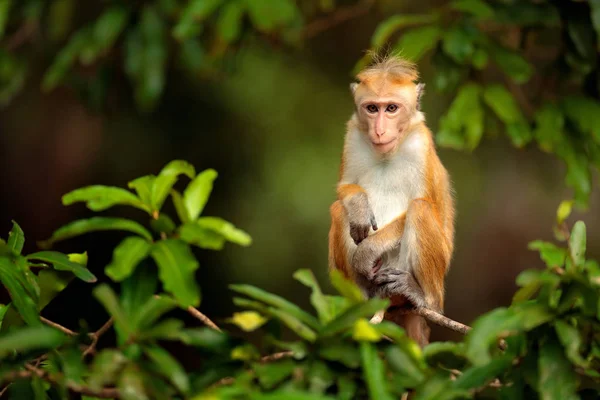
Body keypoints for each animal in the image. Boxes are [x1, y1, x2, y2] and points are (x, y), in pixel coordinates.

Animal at [328, 54, 454, 348]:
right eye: (372, 108)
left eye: (392, 108)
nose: (379, 130)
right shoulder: (352, 135)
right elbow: (343, 188)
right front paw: (359, 206)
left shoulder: (421, 145)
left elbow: (423, 203)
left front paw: (368, 250)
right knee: (339, 211)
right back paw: (365, 299)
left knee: (420, 209)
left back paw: (421, 297)